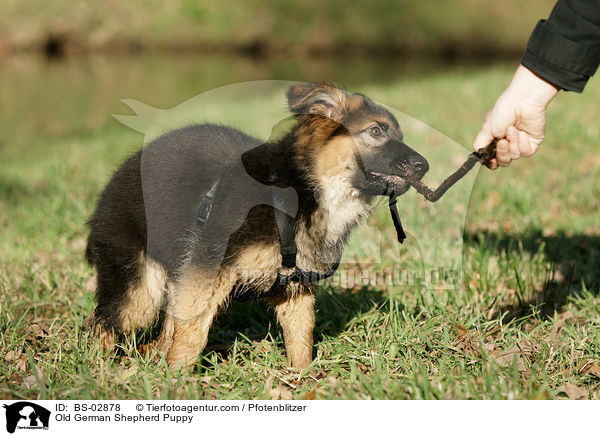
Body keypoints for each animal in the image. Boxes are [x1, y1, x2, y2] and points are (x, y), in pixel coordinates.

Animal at [86, 81, 428, 368]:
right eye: (375, 131)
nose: (424, 166)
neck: (304, 188)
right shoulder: (208, 267)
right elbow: (193, 333)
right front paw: (177, 379)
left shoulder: (294, 286)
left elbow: (301, 335)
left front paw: (304, 378)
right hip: (139, 291)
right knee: (103, 321)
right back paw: (97, 367)